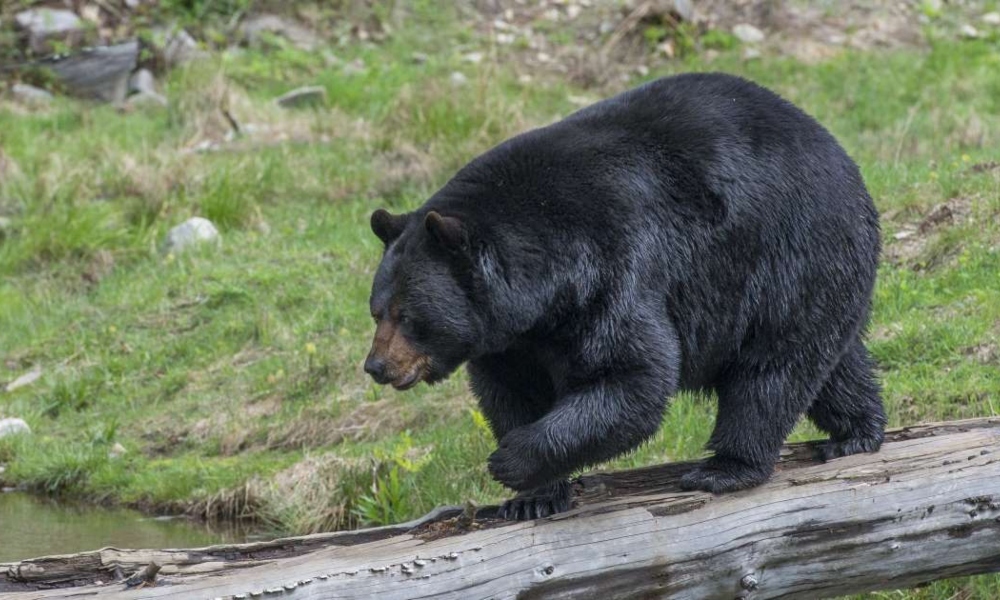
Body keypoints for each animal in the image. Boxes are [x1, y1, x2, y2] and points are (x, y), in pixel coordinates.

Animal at [366, 71, 884, 520]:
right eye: (377, 312)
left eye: (408, 315)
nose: (376, 366)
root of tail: (842, 155)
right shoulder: (509, 339)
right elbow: (511, 391)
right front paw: (531, 497)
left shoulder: (613, 270)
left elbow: (631, 374)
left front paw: (509, 460)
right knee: (831, 361)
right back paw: (856, 433)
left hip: (790, 253)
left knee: (771, 368)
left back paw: (726, 467)